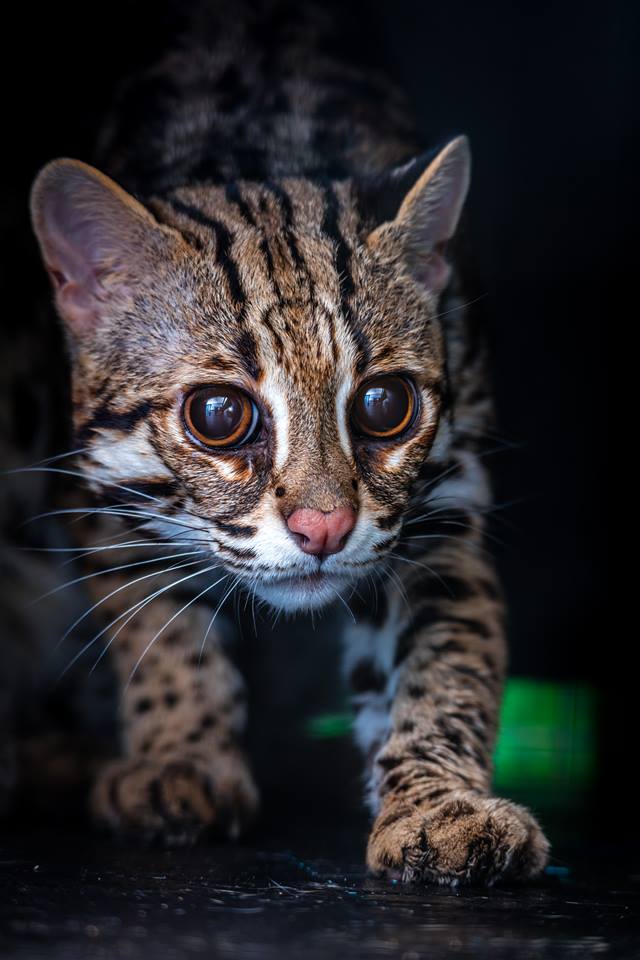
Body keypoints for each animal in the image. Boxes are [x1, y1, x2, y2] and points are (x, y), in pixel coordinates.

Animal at [3, 0, 552, 884]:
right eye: (218, 415)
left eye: (384, 404)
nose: (324, 529)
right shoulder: (95, 486)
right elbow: (161, 629)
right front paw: (182, 759)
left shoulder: (446, 499)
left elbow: (448, 651)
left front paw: (442, 805)